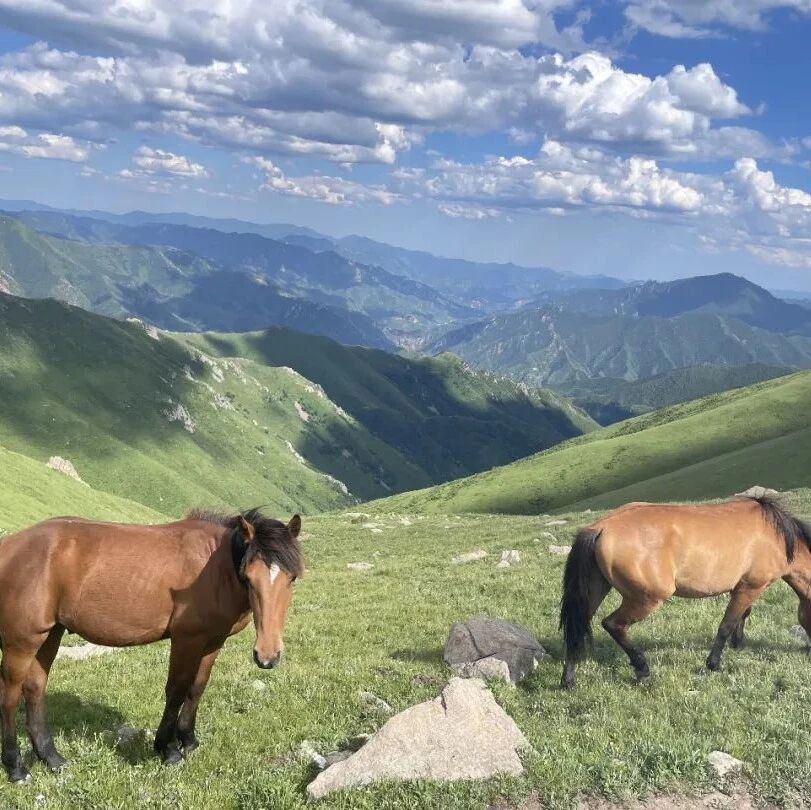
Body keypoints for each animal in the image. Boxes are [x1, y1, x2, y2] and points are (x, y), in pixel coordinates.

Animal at [0, 507, 303, 782]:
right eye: (249, 578)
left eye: (292, 578)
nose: (267, 656)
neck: (216, 566)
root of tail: (9, 546)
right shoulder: (187, 640)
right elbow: (176, 691)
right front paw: (168, 749)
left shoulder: (212, 641)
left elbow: (196, 688)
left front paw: (189, 740)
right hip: (21, 642)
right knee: (10, 695)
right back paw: (16, 767)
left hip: (50, 634)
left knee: (35, 688)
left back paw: (52, 758)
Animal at [559, 494, 811, 689]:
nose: (808, 650)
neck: (779, 537)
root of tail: (601, 527)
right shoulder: (752, 587)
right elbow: (727, 624)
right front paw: (713, 663)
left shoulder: (744, 587)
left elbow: (742, 615)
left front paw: (738, 644)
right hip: (647, 599)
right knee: (613, 625)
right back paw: (642, 670)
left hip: (594, 591)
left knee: (577, 628)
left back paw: (568, 680)